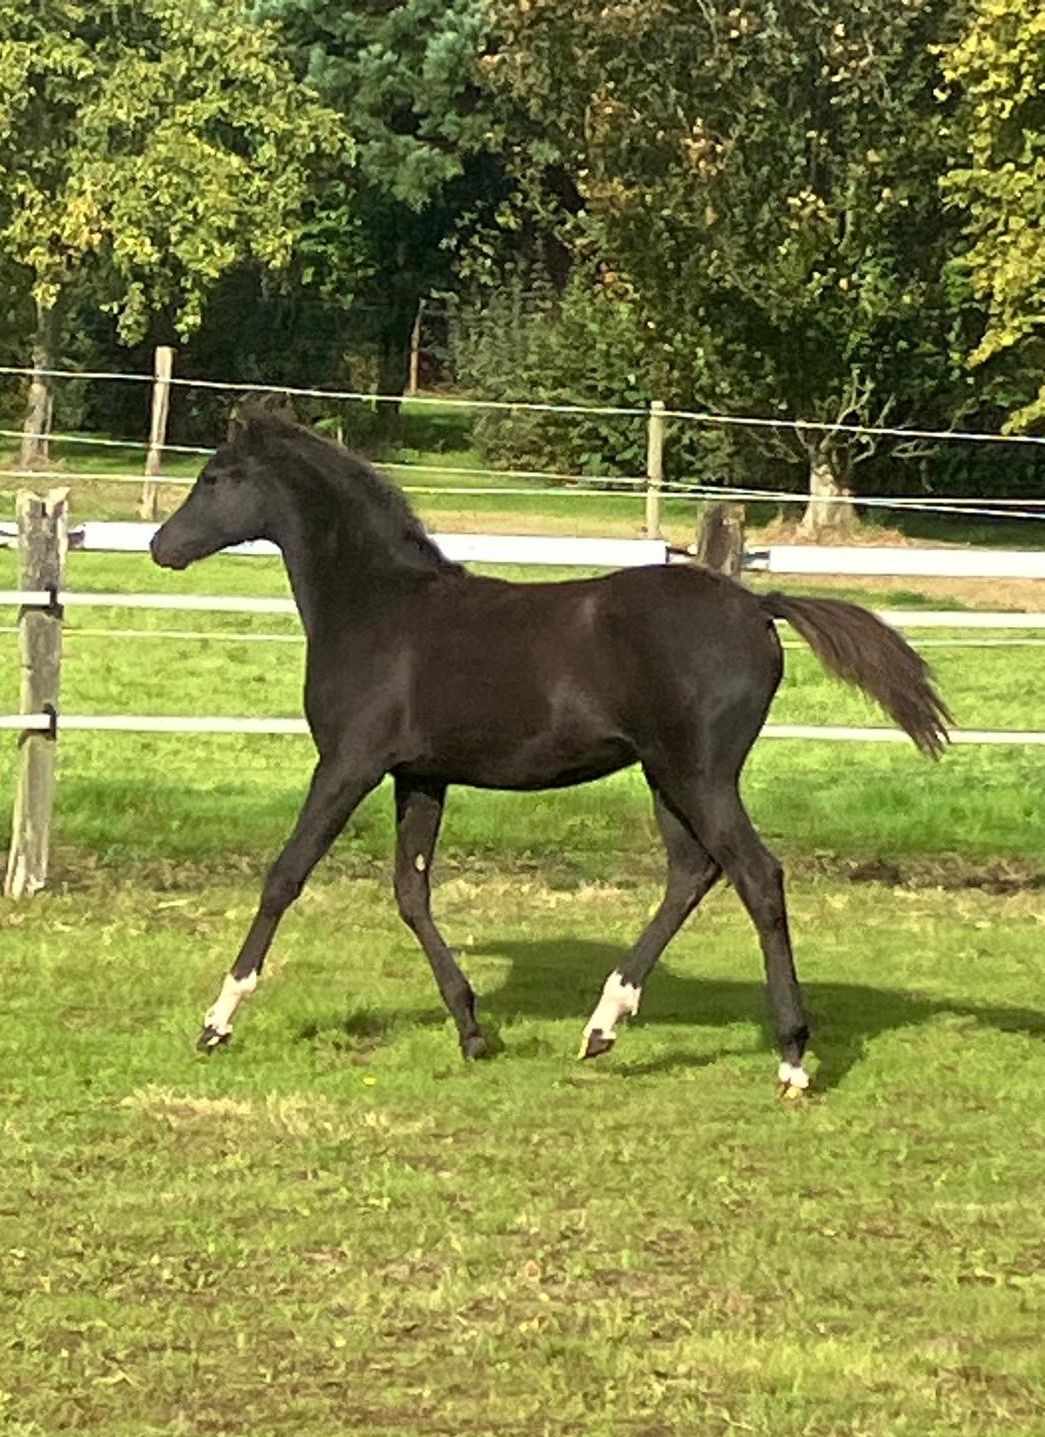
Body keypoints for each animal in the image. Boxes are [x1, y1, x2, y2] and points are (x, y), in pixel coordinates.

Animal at [150, 408, 950, 1094]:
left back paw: (790, 1059)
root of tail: (757, 606)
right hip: (668, 776)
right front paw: (472, 1029)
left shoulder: (349, 764)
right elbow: (411, 892)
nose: (162, 547)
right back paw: (602, 1027)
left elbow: (285, 875)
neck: (377, 606)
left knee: (757, 876)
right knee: (692, 872)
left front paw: (217, 1020)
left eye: (216, 477)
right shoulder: (421, 776)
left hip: (699, 773)